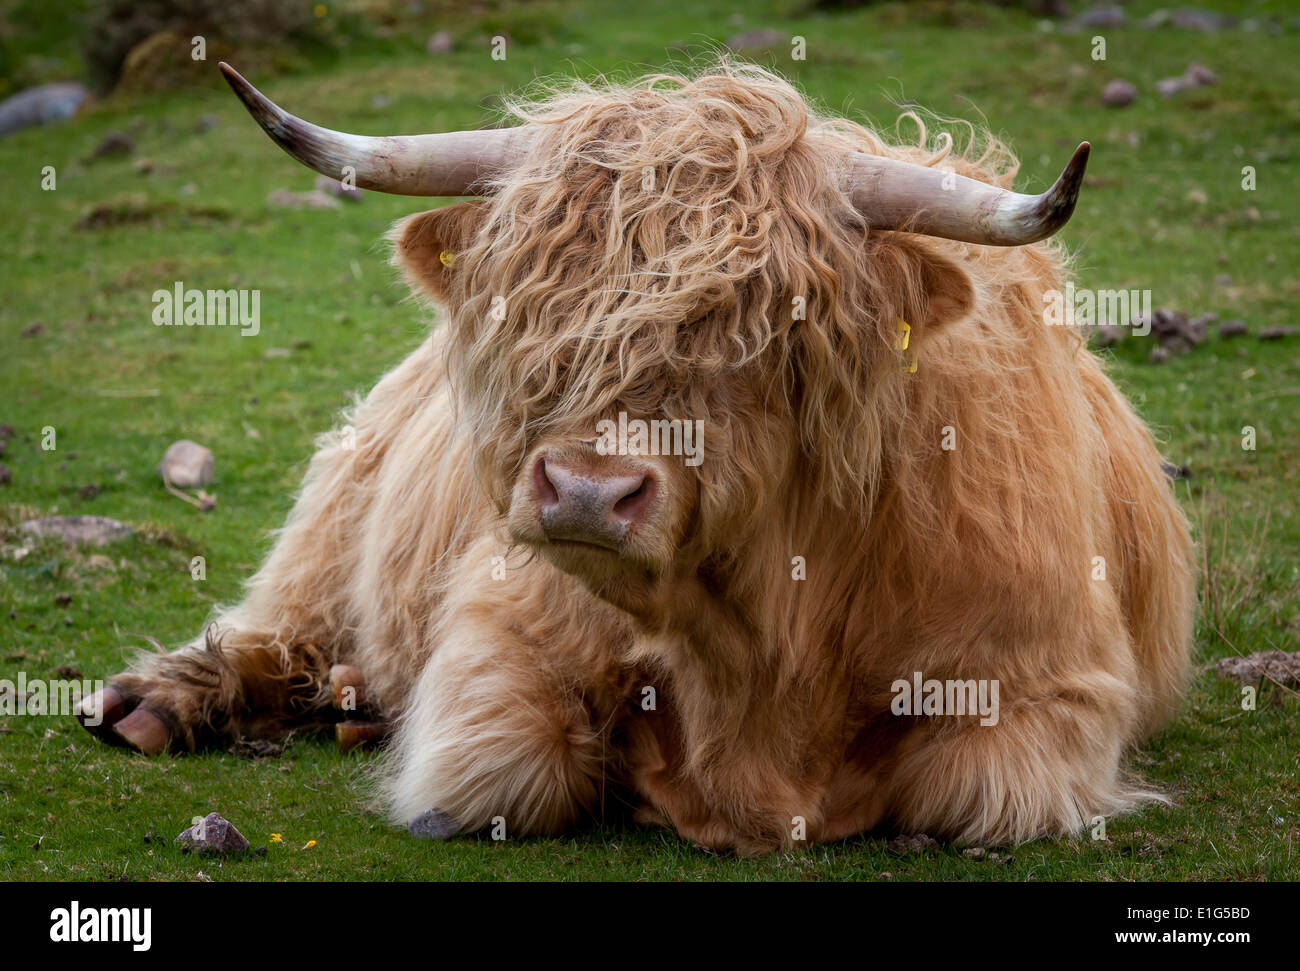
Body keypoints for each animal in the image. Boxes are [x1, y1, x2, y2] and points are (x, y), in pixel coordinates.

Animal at [81, 60, 1190, 852]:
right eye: (538, 315)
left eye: (770, 330)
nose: (585, 492)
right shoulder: (499, 638)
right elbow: (505, 766)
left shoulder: (1051, 691)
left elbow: (981, 793)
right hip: (337, 508)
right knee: (283, 620)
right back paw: (157, 702)